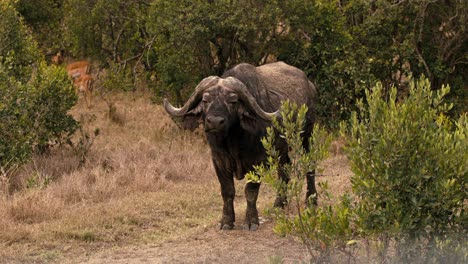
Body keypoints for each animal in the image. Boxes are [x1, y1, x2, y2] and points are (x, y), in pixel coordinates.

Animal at [165, 62, 318, 231]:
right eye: (205, 100)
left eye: (233, 101)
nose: (215, 122)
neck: (233, 142)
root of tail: (310, 86)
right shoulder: (218, 160)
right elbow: (227, 191)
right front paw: (226, 221)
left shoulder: (258, 161)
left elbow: (250, 191)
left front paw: (251, 221)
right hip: (281, 149)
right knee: (284, 168)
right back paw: (280, 203)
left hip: (307, 136)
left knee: (310, 165)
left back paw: (311, 200)